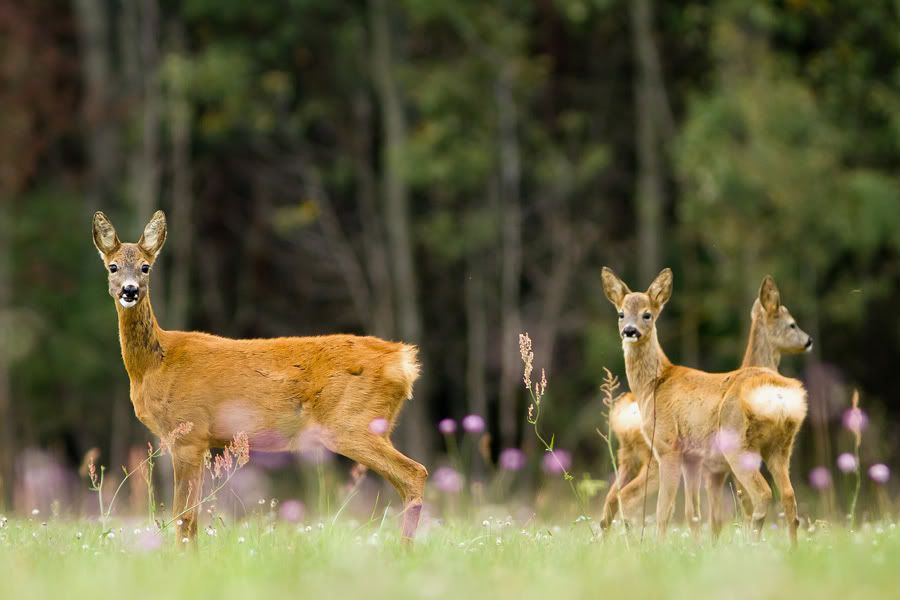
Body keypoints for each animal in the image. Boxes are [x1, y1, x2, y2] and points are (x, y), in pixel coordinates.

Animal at [91, 211, 428, 544]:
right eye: (113, 266)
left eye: (145, 267)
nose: (130, 290)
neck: (154, 364)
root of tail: (403, 360)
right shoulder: (197, 439)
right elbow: (192, 517)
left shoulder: (189, 431)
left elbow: (184, 516)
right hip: (375, 425)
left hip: (352, 422)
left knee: (415, 473)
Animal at [600, 270, 804, 548]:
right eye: (621, 313)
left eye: (647, 314)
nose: (630, 331)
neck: (655, 384)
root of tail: (778, 394)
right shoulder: (694, 459)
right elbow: (696, 514)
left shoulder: (669, 446)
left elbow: (665, 510)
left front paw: (659, 549)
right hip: (781, 448)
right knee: (788, 497)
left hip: (736, 444)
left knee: (762, 494)